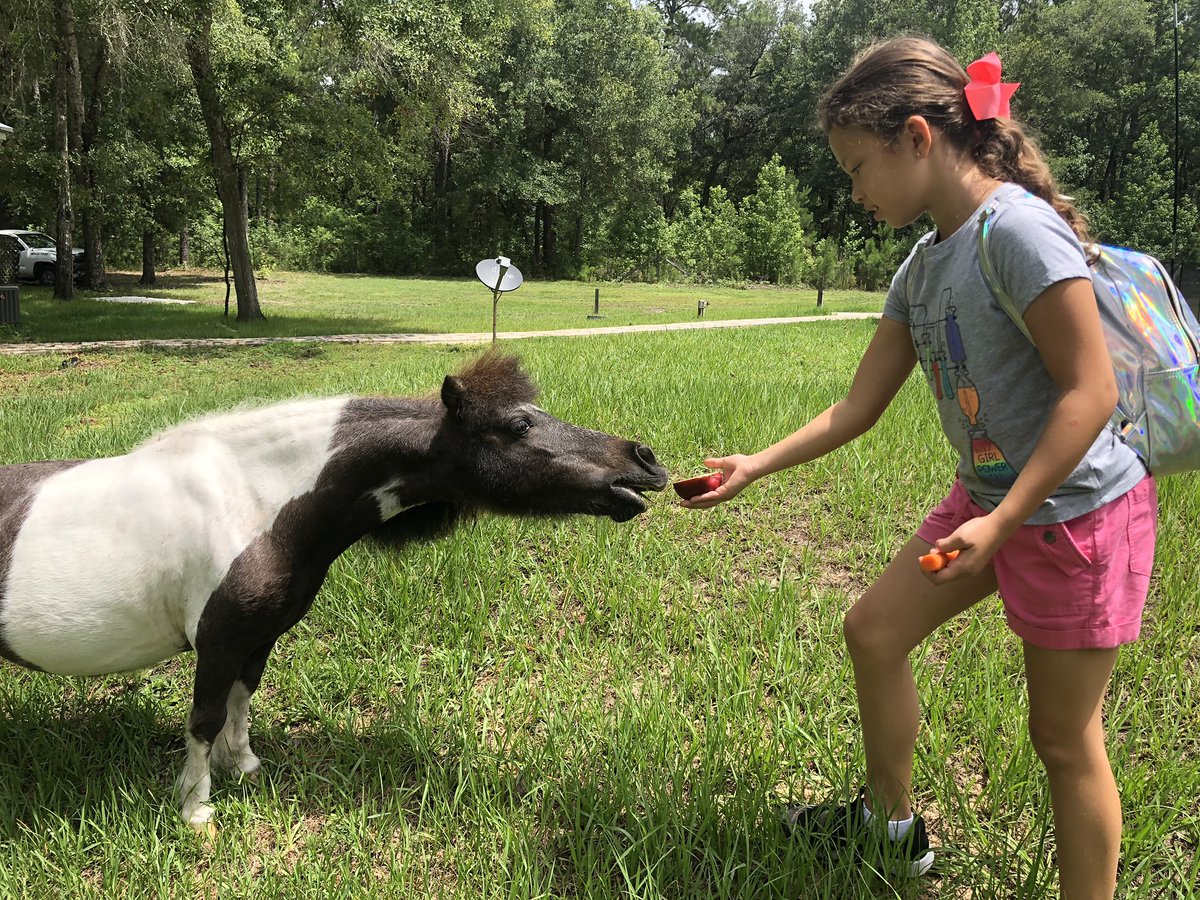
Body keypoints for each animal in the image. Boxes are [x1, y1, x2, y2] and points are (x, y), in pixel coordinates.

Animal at [0, 351, 668, 833]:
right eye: (519, 424)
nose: (645, 460)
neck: (254, 500)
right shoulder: (218, 640)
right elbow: (205, 718)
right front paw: (196, 809)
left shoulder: (258, 636)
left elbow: (242, 700)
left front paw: (244, 767)